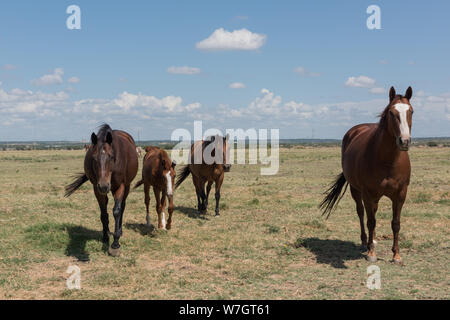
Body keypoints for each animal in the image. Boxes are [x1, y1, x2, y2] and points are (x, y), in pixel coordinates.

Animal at [65, 124, 138, 256]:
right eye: (94, 158)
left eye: (111, 156)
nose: (104, 186)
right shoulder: (96, 188)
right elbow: (103, 213)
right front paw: (105, 237)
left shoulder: (120, 186)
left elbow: (117, 211)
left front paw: (115, 244)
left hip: (126, 186)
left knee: (123, 206)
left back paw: (119, 231)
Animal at [320, 86, 414, 264]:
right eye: (391, 112)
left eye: (411, 111)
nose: (404, 141)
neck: (388, 161)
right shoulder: (367, 193)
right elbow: (370, 221)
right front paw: (371, 253)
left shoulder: (401, 194)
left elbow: (395, 223)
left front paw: (396, 255)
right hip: (357, 190)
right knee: (362, 213)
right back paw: (366, 242)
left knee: (374, 213)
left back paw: (374, 240)